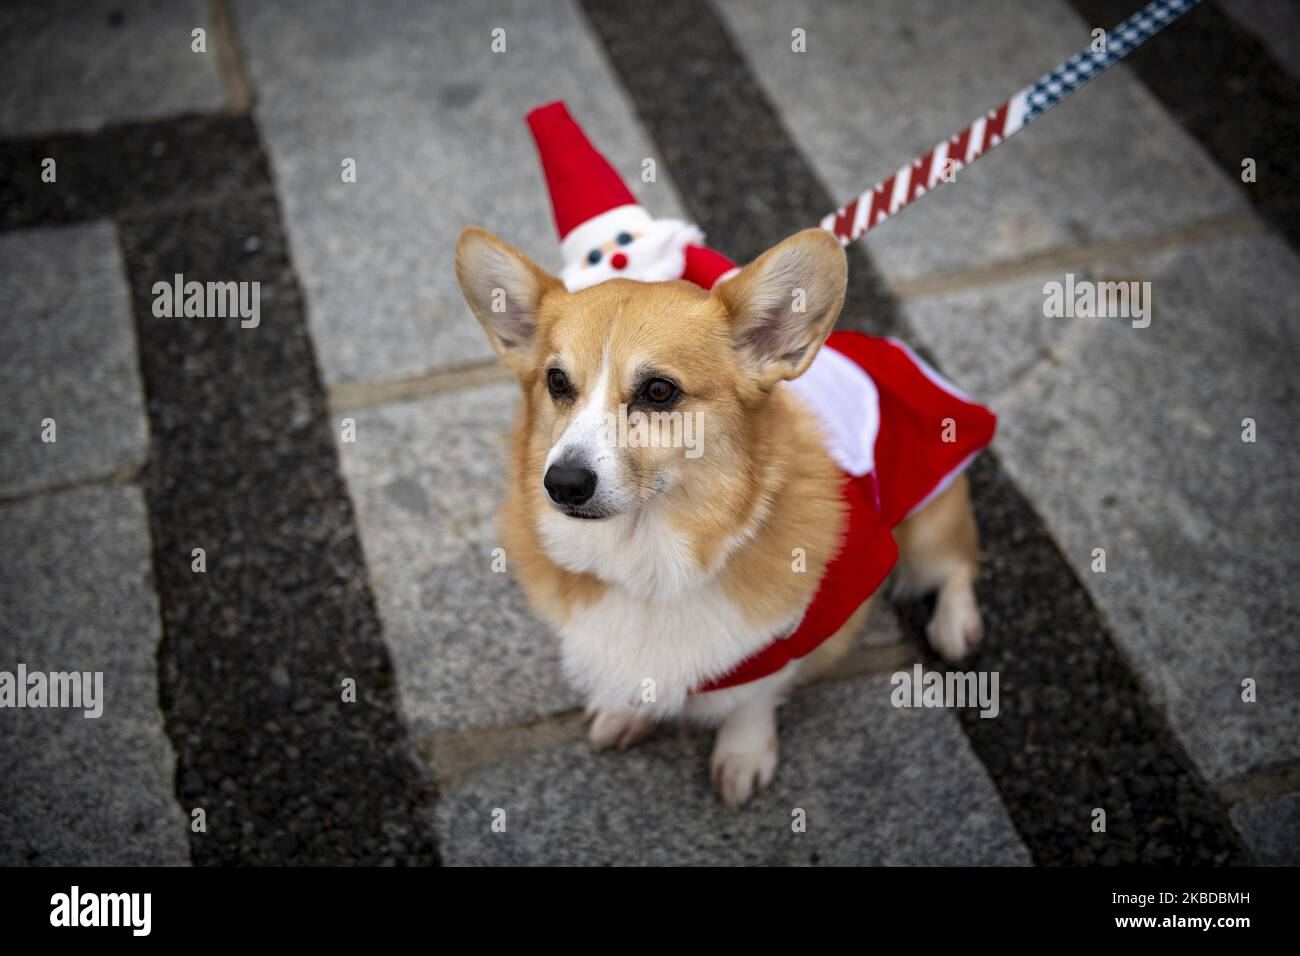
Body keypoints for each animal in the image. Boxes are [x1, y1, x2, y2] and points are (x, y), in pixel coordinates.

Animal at [452, 223, 987, 806]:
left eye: (658, 391)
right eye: (556, 381)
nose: (562, 484)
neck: (645, 561)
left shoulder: (802, 627)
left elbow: (754, 693)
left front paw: (743, 754)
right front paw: (624, 709)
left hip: (928, 530)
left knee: (960, 565)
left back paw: (956, 625)